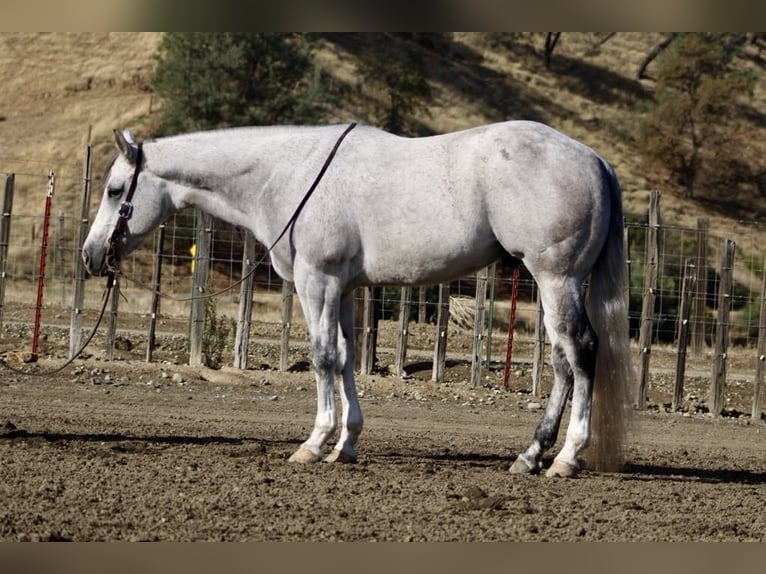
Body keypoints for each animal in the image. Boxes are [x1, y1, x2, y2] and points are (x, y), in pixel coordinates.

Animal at [81, 120, 634, 478]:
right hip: (552, 285)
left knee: (581, 352)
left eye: (114, 190)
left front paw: (313, 443)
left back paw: (565, 459)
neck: (287, 173)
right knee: (562, 361)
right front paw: (345, 445)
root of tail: (597, 161)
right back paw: (532, 455)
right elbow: (346, 359)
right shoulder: (344, 290)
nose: (90, 256)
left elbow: (323, 358)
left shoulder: (317, 281)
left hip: (556, 277)